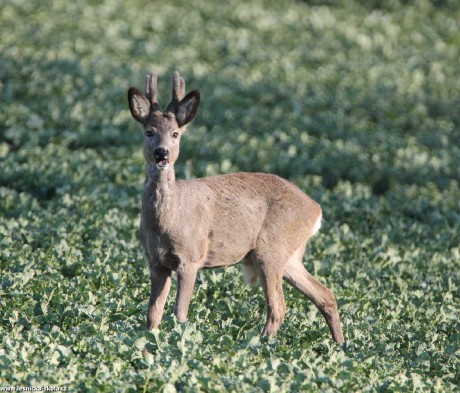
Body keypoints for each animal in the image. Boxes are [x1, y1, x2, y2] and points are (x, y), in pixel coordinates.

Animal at [127, 70, 344, 344]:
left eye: (175, 133)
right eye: (149, 131)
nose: (161, 153)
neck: (167, 221)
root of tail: (316, 210)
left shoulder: (191, 257)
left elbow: (180, 313)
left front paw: (180, 340)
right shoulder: (156, 262)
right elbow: (152, 315)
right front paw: (148, 345)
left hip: (270, 250)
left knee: (278, 307)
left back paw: (259, 344)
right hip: (290, 256)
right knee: (325, 295)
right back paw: (341, 345)